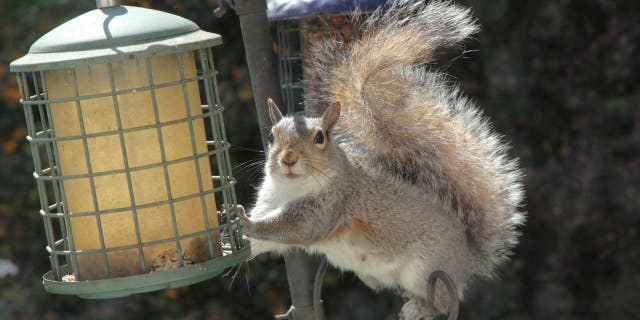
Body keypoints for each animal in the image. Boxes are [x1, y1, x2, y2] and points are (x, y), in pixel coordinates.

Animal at [240, 0, 524, 318]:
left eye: (320, 137)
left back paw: (419, 308)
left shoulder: (332, 203)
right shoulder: (269, 200)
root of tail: (466, 260)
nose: (288, 158)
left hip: (426, 268)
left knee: (439, 301)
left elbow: (295, 228)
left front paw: (247, 225)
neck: (290, 187)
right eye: (271, 136)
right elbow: (262, 240)